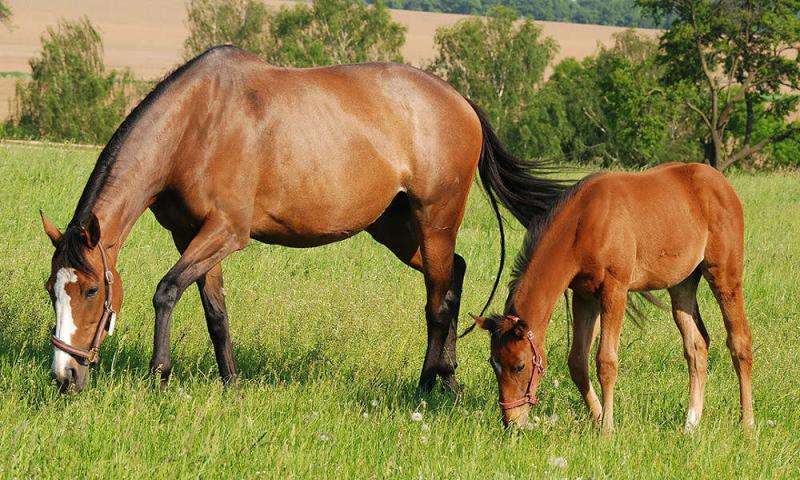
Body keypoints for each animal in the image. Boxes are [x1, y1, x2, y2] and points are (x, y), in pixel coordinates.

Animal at [40, 46, 564, 394]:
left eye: (91, 290)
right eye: (51, 290)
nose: (65, 376)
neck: (196, 123)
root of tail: (461, 101)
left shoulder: (226, 232)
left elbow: (166, 291)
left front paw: (159, 375)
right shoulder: (191, 236)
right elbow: (216, 312)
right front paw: (232, 383)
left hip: (434, 219)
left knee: (437, 303)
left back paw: (424, 388)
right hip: (395, 228)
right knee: (454, 274)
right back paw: (447, 379)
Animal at [472, 163, 752, 434]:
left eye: (519, 366)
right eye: (493, 363)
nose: (511, 423)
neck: (585, 222)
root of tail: (721, 183)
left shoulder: (615, 290)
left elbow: (606, 361)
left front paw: (607, 429)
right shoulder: (584, 296)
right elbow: (577, 361)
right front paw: (598, 417)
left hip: (724, 275)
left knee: (739, 341)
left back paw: (747, 424)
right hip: (682, 285)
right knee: (696, 347)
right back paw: (690, 425)